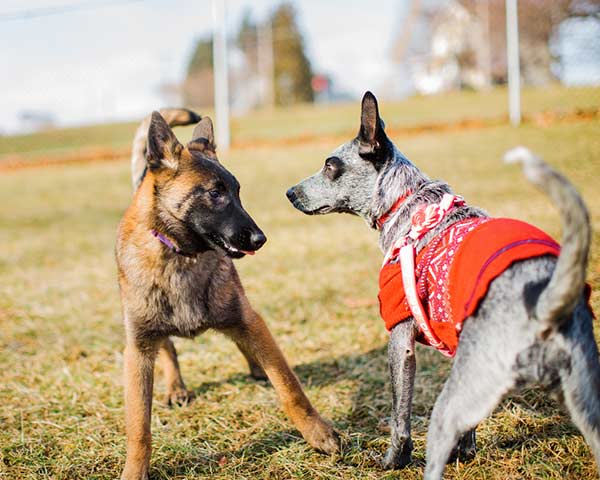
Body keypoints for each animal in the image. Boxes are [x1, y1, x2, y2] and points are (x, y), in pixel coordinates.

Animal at [115, 109, 340, 480]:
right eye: (215, 193)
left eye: (237, 192)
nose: (261, 239)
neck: (182, 257)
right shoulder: (138, 349)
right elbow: (139, 426)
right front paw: (134, 471)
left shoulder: (246, 317)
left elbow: (289, 387)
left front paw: (317, 432)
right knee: (170, 349)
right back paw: (176, 387)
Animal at [288, 92, 600, 478]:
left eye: (331, 166)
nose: (289, 193)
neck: (409, 205)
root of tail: (543, 305)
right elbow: (470, 425)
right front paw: (465, 452)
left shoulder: (400, 341)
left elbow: (400, 419)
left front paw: (394, 461)